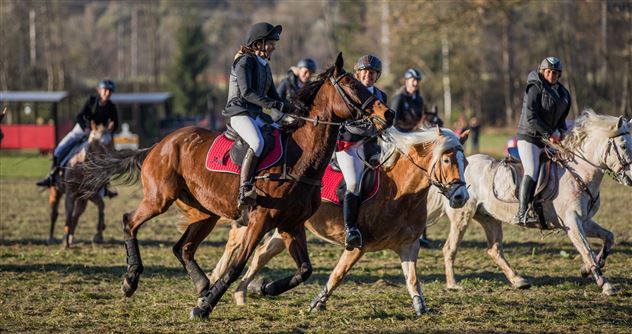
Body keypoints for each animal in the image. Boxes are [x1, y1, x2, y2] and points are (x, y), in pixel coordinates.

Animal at [79, 53, 396, 320]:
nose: (388, 114)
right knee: (130, 222)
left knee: (183, 248)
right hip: (160, 199)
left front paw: (264, 288)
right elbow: (236, 266)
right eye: (352, 84)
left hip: (205, 212)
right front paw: (205, 308)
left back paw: (203, 285)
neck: (300, 159)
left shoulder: (291, 225)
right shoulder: (259, 221)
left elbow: (304, 270)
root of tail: (160, 144)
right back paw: (132, 280)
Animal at [211, 126, 470, 316]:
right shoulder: (358, 245)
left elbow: (413, 280)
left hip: (284, 227)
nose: (461, 197)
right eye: (447, 161)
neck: (401, 192)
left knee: (261, 253)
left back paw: (243, 292)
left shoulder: (408, 246)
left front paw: (421, 308)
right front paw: (317, 303)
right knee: (237, 243)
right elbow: (337, 274)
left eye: (466, 163)